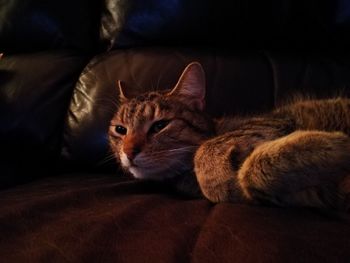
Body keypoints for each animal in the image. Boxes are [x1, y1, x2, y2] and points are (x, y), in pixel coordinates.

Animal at [108, 62, 350, 212]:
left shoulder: (273, 121)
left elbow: (213, 155)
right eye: (120, 130)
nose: (128, 152)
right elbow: (252, 176)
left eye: (160, 125)